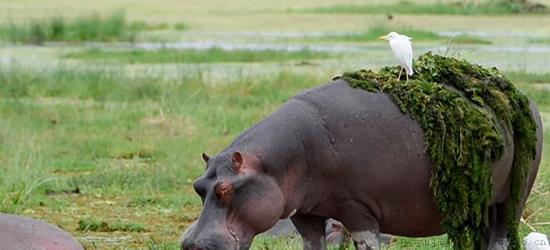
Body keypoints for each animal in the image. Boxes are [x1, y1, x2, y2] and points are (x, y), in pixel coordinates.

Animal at [181, 79, 544, 249]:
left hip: (513, 197)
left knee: (501, 235)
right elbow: (312, 243)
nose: (190, 244)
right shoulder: (305, 214)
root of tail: (523, 96)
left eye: (225, 190)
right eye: (198, 186)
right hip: (479, 205)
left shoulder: (358, 210)